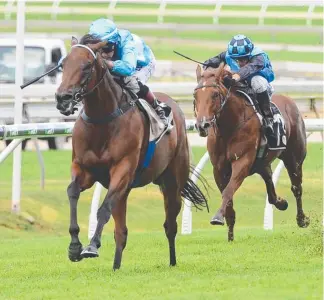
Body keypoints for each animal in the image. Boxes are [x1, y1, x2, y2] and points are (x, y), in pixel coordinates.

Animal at [55, 35, 208, 270]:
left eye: (87, 66)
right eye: (63, 64)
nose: (63, 98)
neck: (102, 121)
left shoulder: (122, 170)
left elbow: (104, 208)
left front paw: (92, 246)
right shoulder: (84, 168)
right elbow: (72, 192)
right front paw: (74, 246)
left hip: (172, 182)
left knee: (170, 224)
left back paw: (172, 262)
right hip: (127, 190)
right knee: (122, 232)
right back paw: (116, 267)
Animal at [192, 63, 308, 241]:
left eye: (215, 94)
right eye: (195, 95)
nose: (202, 125)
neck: (230, 127)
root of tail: (289, 101)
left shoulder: (242, 162)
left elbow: (228, 191)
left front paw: (217, 217)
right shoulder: (218, 169)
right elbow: (228, 200)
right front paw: (230, 236)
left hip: (294, 158)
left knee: (296, 187)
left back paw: (302, 219)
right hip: (261, 163)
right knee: (270, 184)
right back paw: (281, 202)